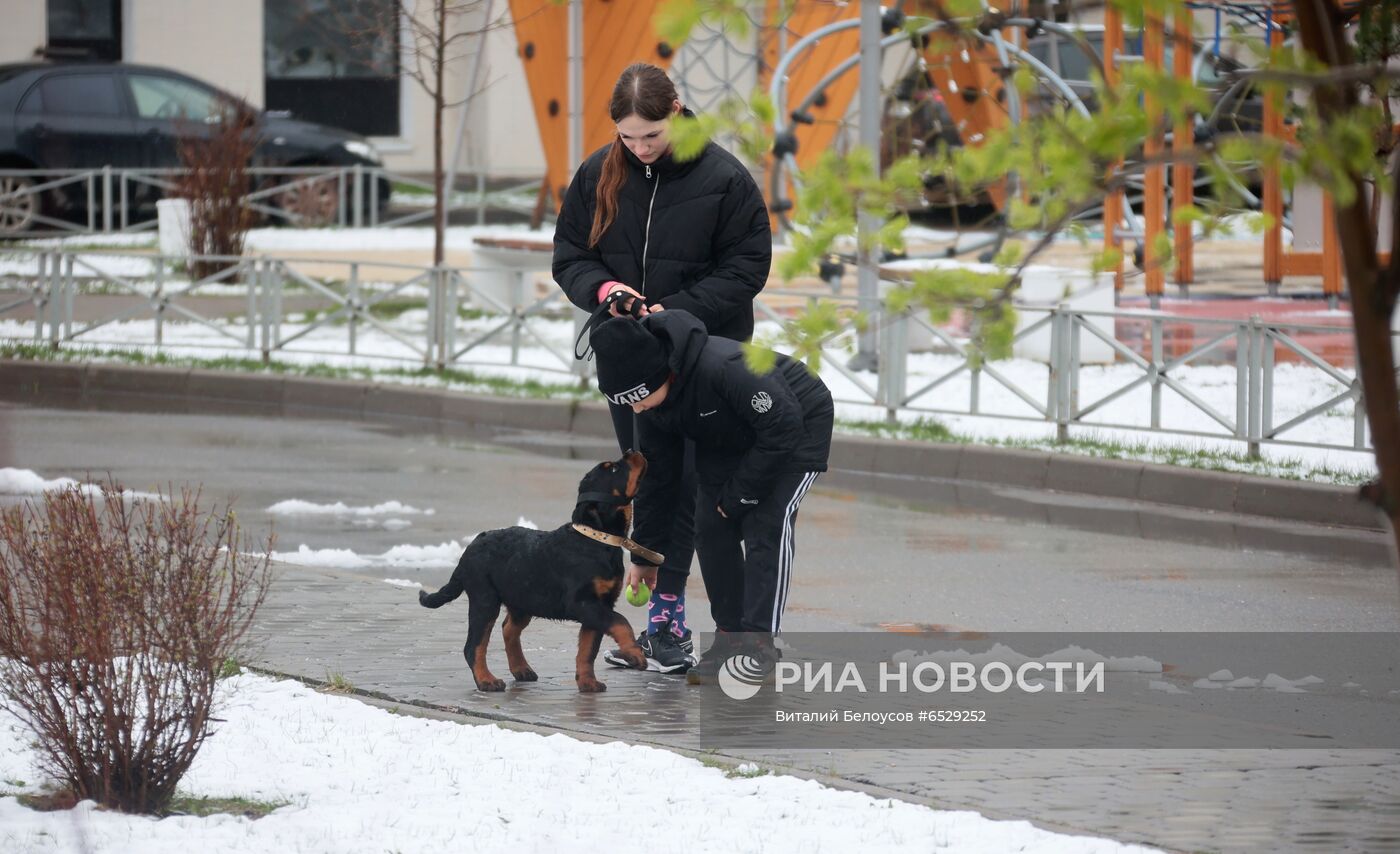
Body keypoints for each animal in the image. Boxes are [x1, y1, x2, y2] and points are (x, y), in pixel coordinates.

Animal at [417, 448, 652, 688]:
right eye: (613, 469)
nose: (632, 450)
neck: (596, 539)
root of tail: (469, 549)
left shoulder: (600, 604)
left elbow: (588, 649)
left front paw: (588, 683)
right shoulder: (582, 603)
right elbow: (620, 622)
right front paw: (635, 654)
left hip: (522, 598)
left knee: (508, 629)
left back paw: (521, 669)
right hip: (485, 599)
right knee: (474, 645)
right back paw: (487, 680)